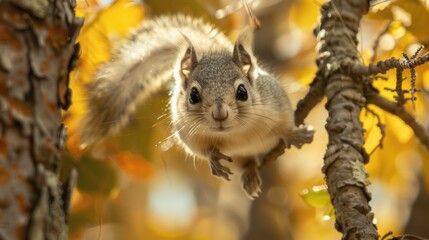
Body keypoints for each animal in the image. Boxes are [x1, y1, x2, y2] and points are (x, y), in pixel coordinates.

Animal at [79, 14, 314, 199]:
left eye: (242, 92)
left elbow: (285, 124)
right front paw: (213, 158)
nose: (220, 115)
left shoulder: (276, 104)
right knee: (247, 161)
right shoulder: (188, 133)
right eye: (193, 95)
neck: (236, 135)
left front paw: (295, 134)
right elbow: (200, 150)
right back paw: (249, 175)